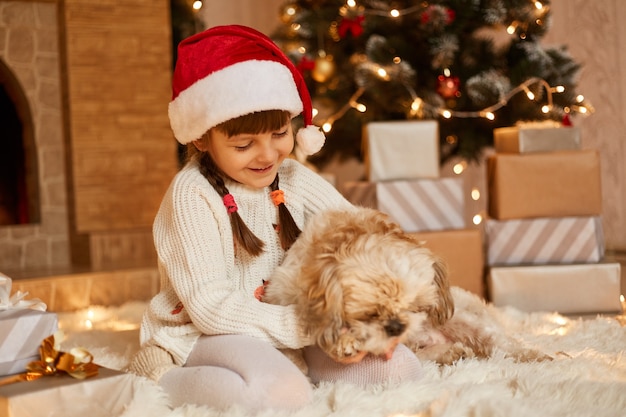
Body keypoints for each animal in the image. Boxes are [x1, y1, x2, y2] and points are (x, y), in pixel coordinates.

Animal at [264, 206, 544, 366]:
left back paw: (536, 356)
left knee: (502, 343)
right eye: (370, 314)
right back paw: (451, 353)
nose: (397, 326)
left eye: (416, 307)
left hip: (466, 322)